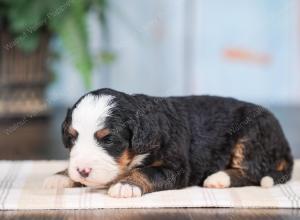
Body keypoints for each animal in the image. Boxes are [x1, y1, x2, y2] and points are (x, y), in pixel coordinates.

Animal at [44, 88, 292, 199]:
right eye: (72, 138)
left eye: (109, 139)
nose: (82, 171)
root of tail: (283, 141)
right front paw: (60, 176)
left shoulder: (176, 168)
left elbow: (147, 172)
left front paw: (126, 184)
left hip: (251, 136)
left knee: (252, 172)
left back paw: (219, 178)